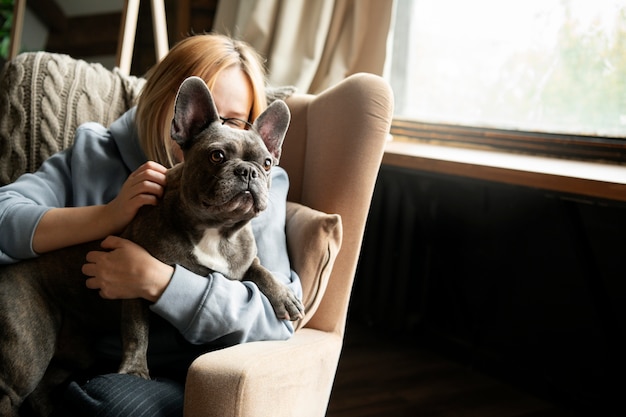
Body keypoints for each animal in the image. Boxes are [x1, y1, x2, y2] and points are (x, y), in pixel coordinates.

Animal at [0, 75, 302, 416]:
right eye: (217, 156)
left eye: (267, 163)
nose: (248, 171)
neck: (216, 230)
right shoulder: (132, 286)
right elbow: (136, 332)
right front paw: (134, 370)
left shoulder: (242, 259)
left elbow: (260, 269)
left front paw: (284, 296)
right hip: (28, 347)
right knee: (12, 392)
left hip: (76, 353)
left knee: (42, 388)